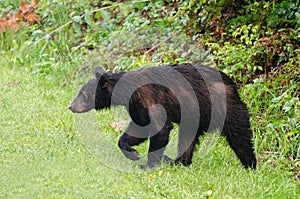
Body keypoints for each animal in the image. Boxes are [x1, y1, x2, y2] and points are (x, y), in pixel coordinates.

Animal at [69, 63, 256, 169]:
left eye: (83, 93)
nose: (71, 106)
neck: (128, 89)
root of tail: (232, 84)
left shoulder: (151, 98)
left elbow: (160, 128)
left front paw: (148, 165)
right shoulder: (137, 105)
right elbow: (139, 127)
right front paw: (132, 152)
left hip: (224, 107)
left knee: (239, 134)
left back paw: (250, 164)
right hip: (193, 117)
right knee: (188, 137)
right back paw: (178, 162)